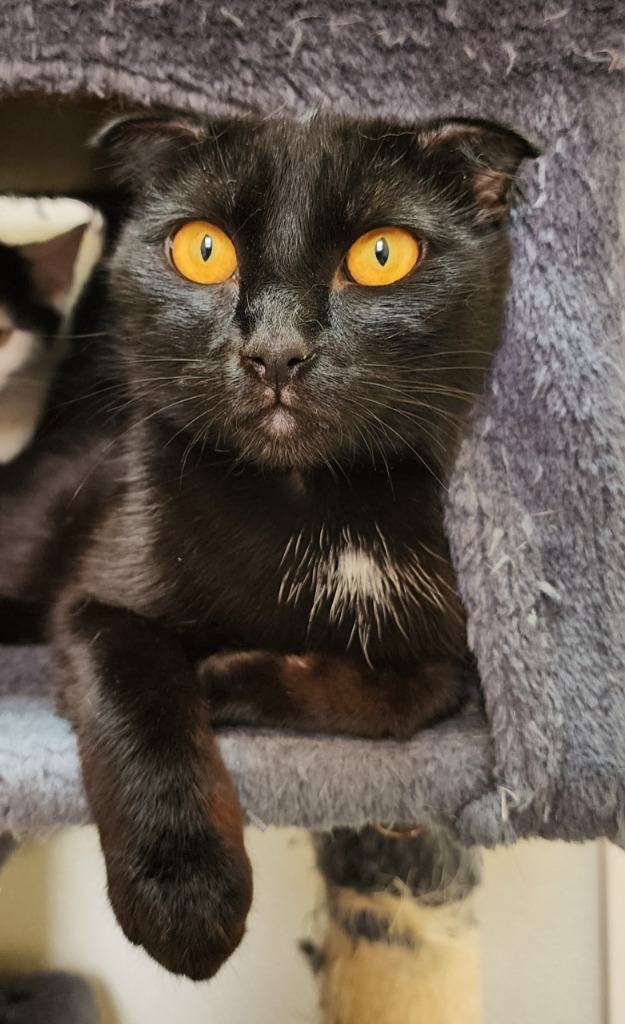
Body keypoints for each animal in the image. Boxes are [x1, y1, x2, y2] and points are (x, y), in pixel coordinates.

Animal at [0, 108, 536, 978]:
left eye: (382, 254)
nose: (275, 352)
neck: (316, 508)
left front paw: (229, 678)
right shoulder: (97, 598)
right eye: (202, 248)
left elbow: (408, 695)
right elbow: (138, 700)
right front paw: (184, 892)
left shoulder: (450, 644)